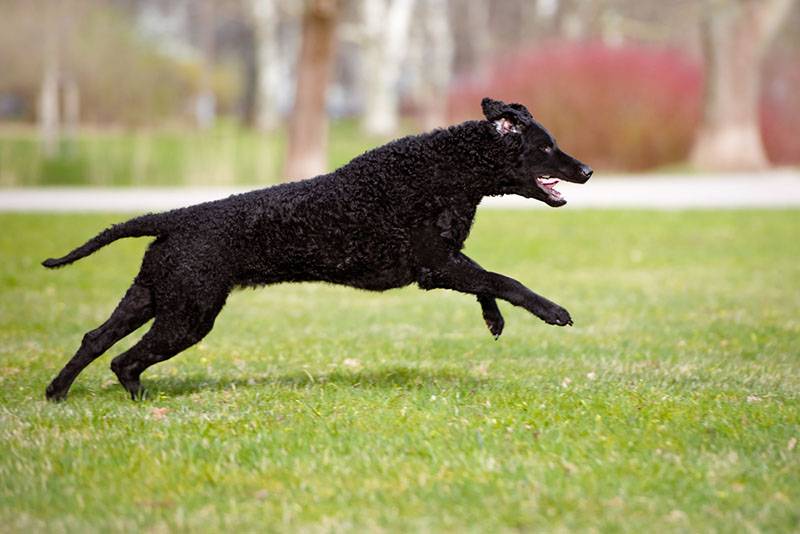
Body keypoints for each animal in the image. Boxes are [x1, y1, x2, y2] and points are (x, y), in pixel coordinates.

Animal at [45, 98, 592, 402]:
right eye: (546, 147)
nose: (587, 170)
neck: (449, 167)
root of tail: (175, 217)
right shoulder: (436, 265)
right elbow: (505, 280)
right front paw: (552, 311)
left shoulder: (446, 262)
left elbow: (489, 284)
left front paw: (493, 320)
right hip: (188, 314)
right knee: (124, 361)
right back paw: (139, 402)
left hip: (151, 297)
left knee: (95, 340)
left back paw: (57, 393)